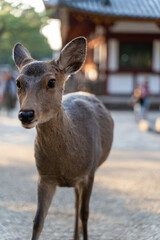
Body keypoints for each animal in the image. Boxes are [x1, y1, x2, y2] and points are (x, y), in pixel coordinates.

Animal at [12, 36, 114, 240]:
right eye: (18, 82)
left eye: (51, 82)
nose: (26, 114)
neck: (65, 164)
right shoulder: (44, 176)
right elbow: (37, 221)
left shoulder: (89, 172)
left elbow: (85, 213)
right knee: (75, 203)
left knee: (80, 208)